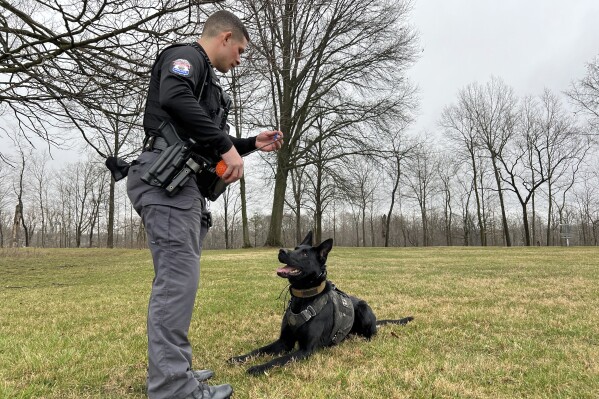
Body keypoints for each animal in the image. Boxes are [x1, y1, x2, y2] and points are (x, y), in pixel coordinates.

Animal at [227, 231, 414, 376]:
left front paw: (258, 368)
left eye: (304, 254)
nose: (281, 250)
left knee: (372, 333)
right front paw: (238, 358)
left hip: (364, 308)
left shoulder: (305, 350)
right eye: (295, 248)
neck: (303, 299)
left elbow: (277, 360)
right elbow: (259, 350)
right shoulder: (284, 342)